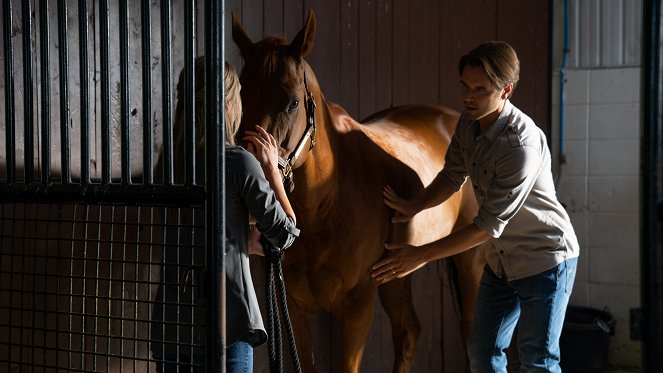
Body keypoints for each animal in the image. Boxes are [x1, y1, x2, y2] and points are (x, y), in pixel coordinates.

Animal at [231, 9, 486, 372]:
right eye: (241, 96)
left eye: (292, 102)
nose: (252, 176)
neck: (326, 204)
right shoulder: (296, 307)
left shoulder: (357, 307)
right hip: (398, 273)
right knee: (409, 332)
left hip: (468, 259)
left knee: (466, 330)